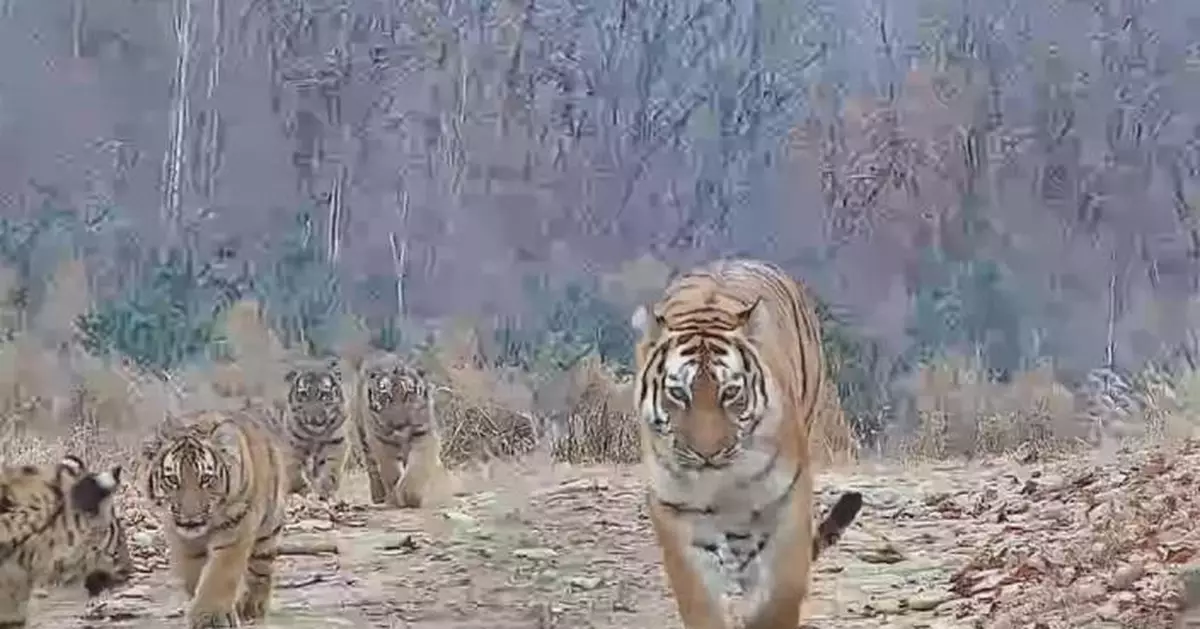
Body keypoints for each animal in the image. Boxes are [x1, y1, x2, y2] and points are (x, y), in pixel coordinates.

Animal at [141, 406, 289, 629]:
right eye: (173, 479)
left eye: (206, 479)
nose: (191, 517)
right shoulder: (183, 540)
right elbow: (195, 575)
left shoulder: (235, 529)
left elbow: (219, 575)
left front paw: (209, 617)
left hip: (268, 530)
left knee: (261, 568)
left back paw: (252, 607)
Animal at [282, 358, 350, 501]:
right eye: (304, 394)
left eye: (324, 395)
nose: (312, 417)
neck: (315, 435)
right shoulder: (294, 444)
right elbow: (295, 470)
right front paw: (304, 492)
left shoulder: (336, 442)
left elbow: (330, 468)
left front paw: (325, 491)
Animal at [351, 352, 450, 508]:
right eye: (386, 396)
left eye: (408, 395)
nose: (400, 424)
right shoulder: (381, 441)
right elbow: (391, 471)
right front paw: (395, 498)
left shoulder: (423, 434)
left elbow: (418, 466)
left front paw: (410, 496)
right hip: (363, 437)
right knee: (372, 468)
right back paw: (379, 496)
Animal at [630, 258, 864, 629]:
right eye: (678, 393)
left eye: (731, 392)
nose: (707, 453)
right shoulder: (676, 512)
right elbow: (699, 599)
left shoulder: (788, 502)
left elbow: (782, 593)